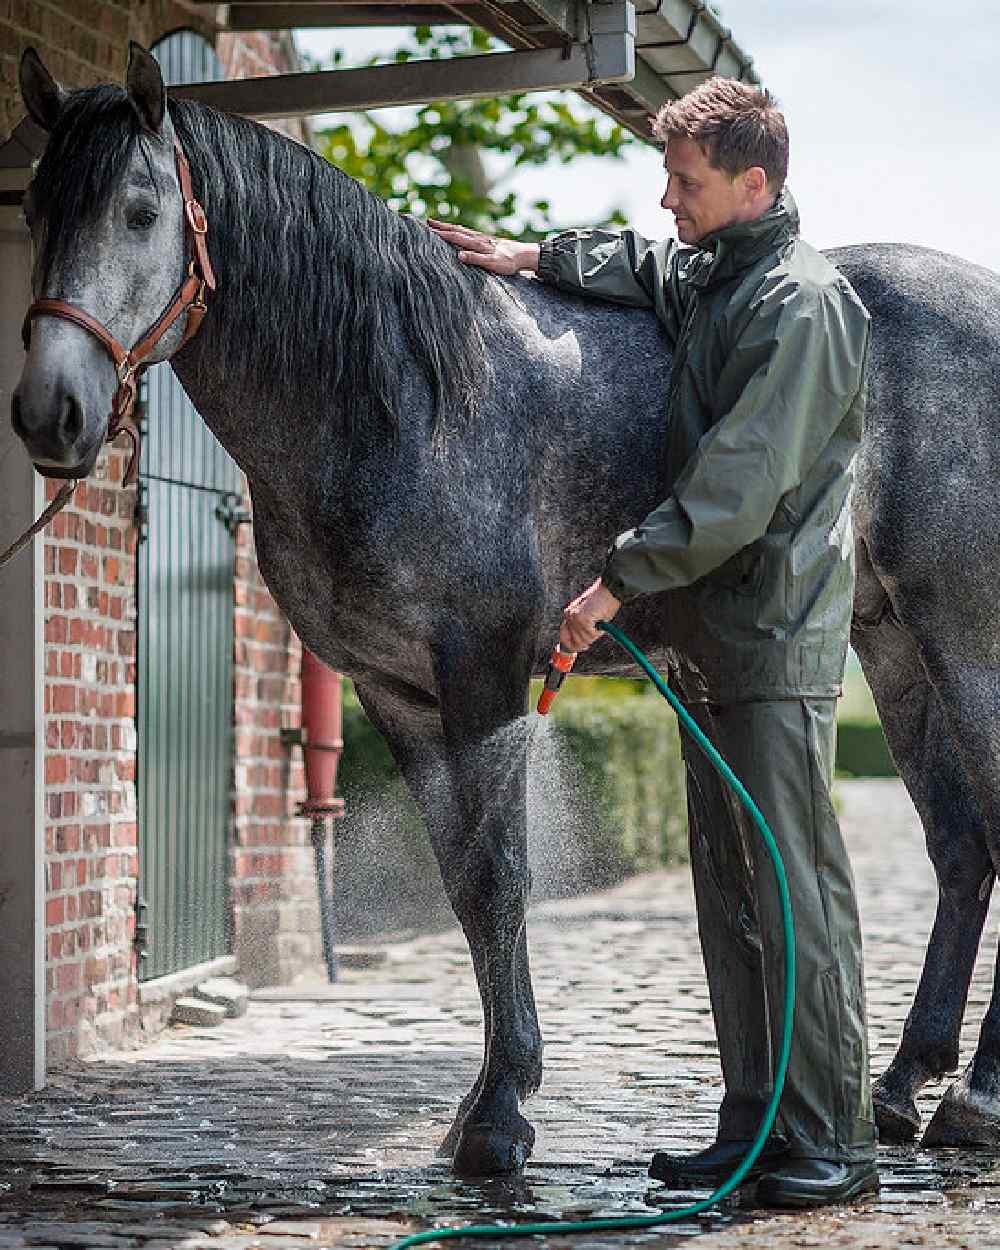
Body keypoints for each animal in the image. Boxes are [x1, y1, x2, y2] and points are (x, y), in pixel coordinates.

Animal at [13, 41, 1000, 1170]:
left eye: (140, 211)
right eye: (35, 207)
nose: (50, 412)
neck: (401, 396)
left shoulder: (482, 671)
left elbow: (499, 878)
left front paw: (497, 1116)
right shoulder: (396, 691)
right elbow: (462, 885)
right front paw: (486, 1100)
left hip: (967, 646)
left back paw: (973, 1100)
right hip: (893, 647)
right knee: (960, 849)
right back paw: (903, 1085)